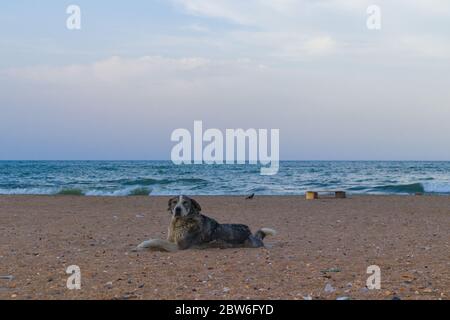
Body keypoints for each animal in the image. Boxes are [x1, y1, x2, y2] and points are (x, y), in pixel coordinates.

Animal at [135, 195, 276, 252]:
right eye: (174, 202)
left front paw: (142, 244)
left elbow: (156, 240)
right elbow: (157, 242)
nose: (177, 209)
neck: (178, 224)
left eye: (185, 203)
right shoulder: (171, 240)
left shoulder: (179, 246)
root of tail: (251, 233)